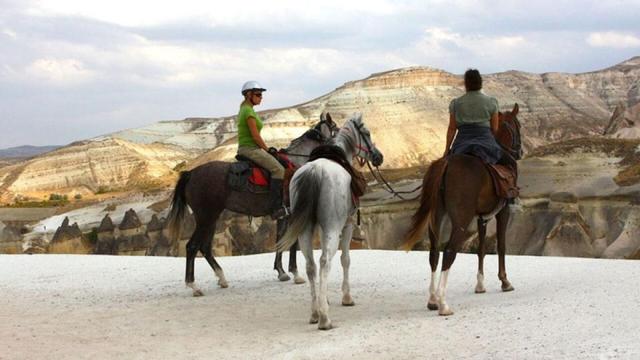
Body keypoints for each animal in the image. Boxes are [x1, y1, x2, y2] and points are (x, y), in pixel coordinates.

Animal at [165, 114, 338, 296]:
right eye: (335, 127)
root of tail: (190, 174)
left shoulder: (283, 215)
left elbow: (280, 240)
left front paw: (281, 272)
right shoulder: (294, 214)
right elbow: (292, 244)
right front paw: (295, 273)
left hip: (211, 218)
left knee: (204, 247)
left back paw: (222, 278)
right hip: (206, 217)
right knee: (192, 246)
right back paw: (194, 286)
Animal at [278, 113, 382, 330]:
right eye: (367, 133)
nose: (379, 156)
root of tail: (315, 171)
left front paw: (323, 299)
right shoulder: (348, 226)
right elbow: (345, 259)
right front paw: (346, 297)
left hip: (305, 231)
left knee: (310, 265)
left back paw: (315, 313)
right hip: (333, 229)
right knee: (325, 261)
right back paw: (325, 319)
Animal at [402, 103, 524, 316]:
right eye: (518, 125)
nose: (519, 152)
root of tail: (446, 164)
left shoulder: (482, 217)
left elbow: (481, 248)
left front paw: (480, 285)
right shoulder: (503, 211)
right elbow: (501, 245)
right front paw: (505, 281)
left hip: (436, 218)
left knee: (434, 253)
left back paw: (432, 300)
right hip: (461, 219)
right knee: (449, 251)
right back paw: (443, 304)